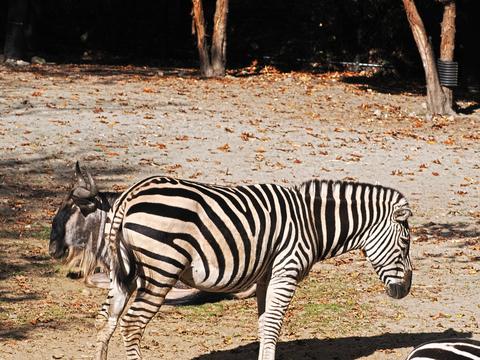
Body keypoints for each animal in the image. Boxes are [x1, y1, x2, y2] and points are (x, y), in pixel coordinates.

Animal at [96, 175, 412, 360]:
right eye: (405, 242)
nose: (406, 290)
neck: (312, 223)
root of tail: (132, 193)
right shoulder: (286, 271)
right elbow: (273, 324)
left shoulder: (266, 276)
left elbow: (265, 324)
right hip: (162, 268)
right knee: (132, 324)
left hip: (122, 271)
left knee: (106, 320)